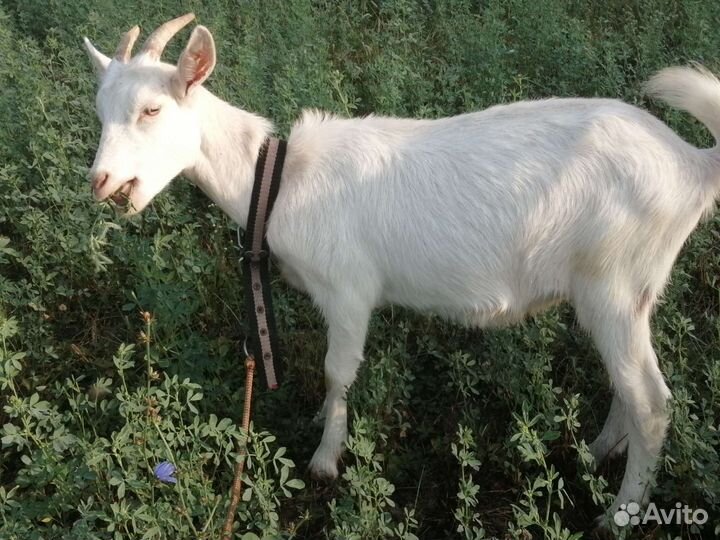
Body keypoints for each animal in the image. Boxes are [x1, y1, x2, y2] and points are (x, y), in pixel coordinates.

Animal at [83, 14, 720, 519]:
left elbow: (338, 369)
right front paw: (321, 423)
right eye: (100, 112)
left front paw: (325, 458)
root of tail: (692, 162)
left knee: (652, 403)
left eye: (152, 108)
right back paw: (597, 451)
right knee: (628, 387)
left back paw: (618, 515)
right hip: (625, 293)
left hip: (614, 282)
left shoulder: (348, 290)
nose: (102, 183)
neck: (278, 182)